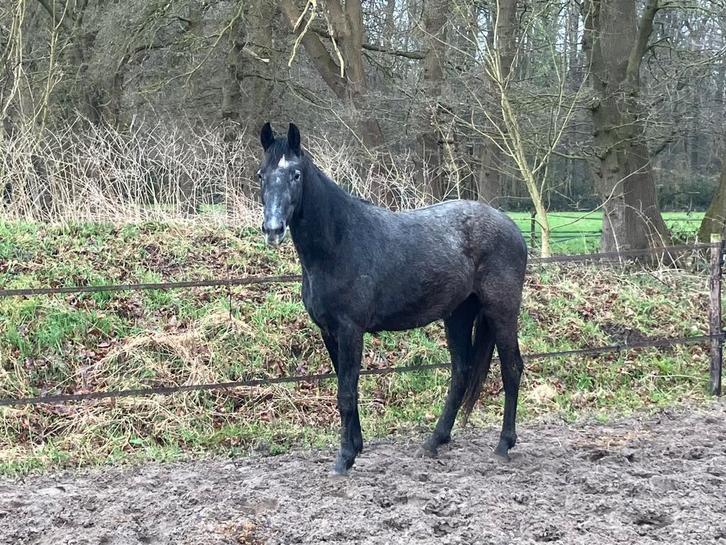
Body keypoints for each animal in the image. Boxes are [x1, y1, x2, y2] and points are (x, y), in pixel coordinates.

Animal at [257, 122, 527, 475]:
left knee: (511, 369)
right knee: (461, 372)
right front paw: (355, 448)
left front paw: (344, 458)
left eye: (296, 174)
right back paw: (434, 442)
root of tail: (513, 228)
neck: (339, 242)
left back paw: (503, 445)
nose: (273, 229)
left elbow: (346, 393)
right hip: (458, 314)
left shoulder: (350, 330)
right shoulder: (329, 332)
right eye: (261, 174)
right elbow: (346, 388)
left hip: (501, 312)